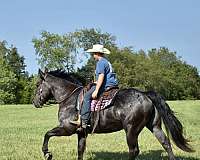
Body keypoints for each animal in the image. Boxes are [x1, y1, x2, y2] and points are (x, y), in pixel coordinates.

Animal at [33, 69, 194, 160]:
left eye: (37, 85)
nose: (35, 102)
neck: (69, 98)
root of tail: (145, 94)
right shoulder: (81, 132)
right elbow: (80, 150)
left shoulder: (67, 129)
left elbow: (47, 134)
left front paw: (47, 153)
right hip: (154, 126)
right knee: (166, 143)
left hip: (131, 130)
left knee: (134, 150)